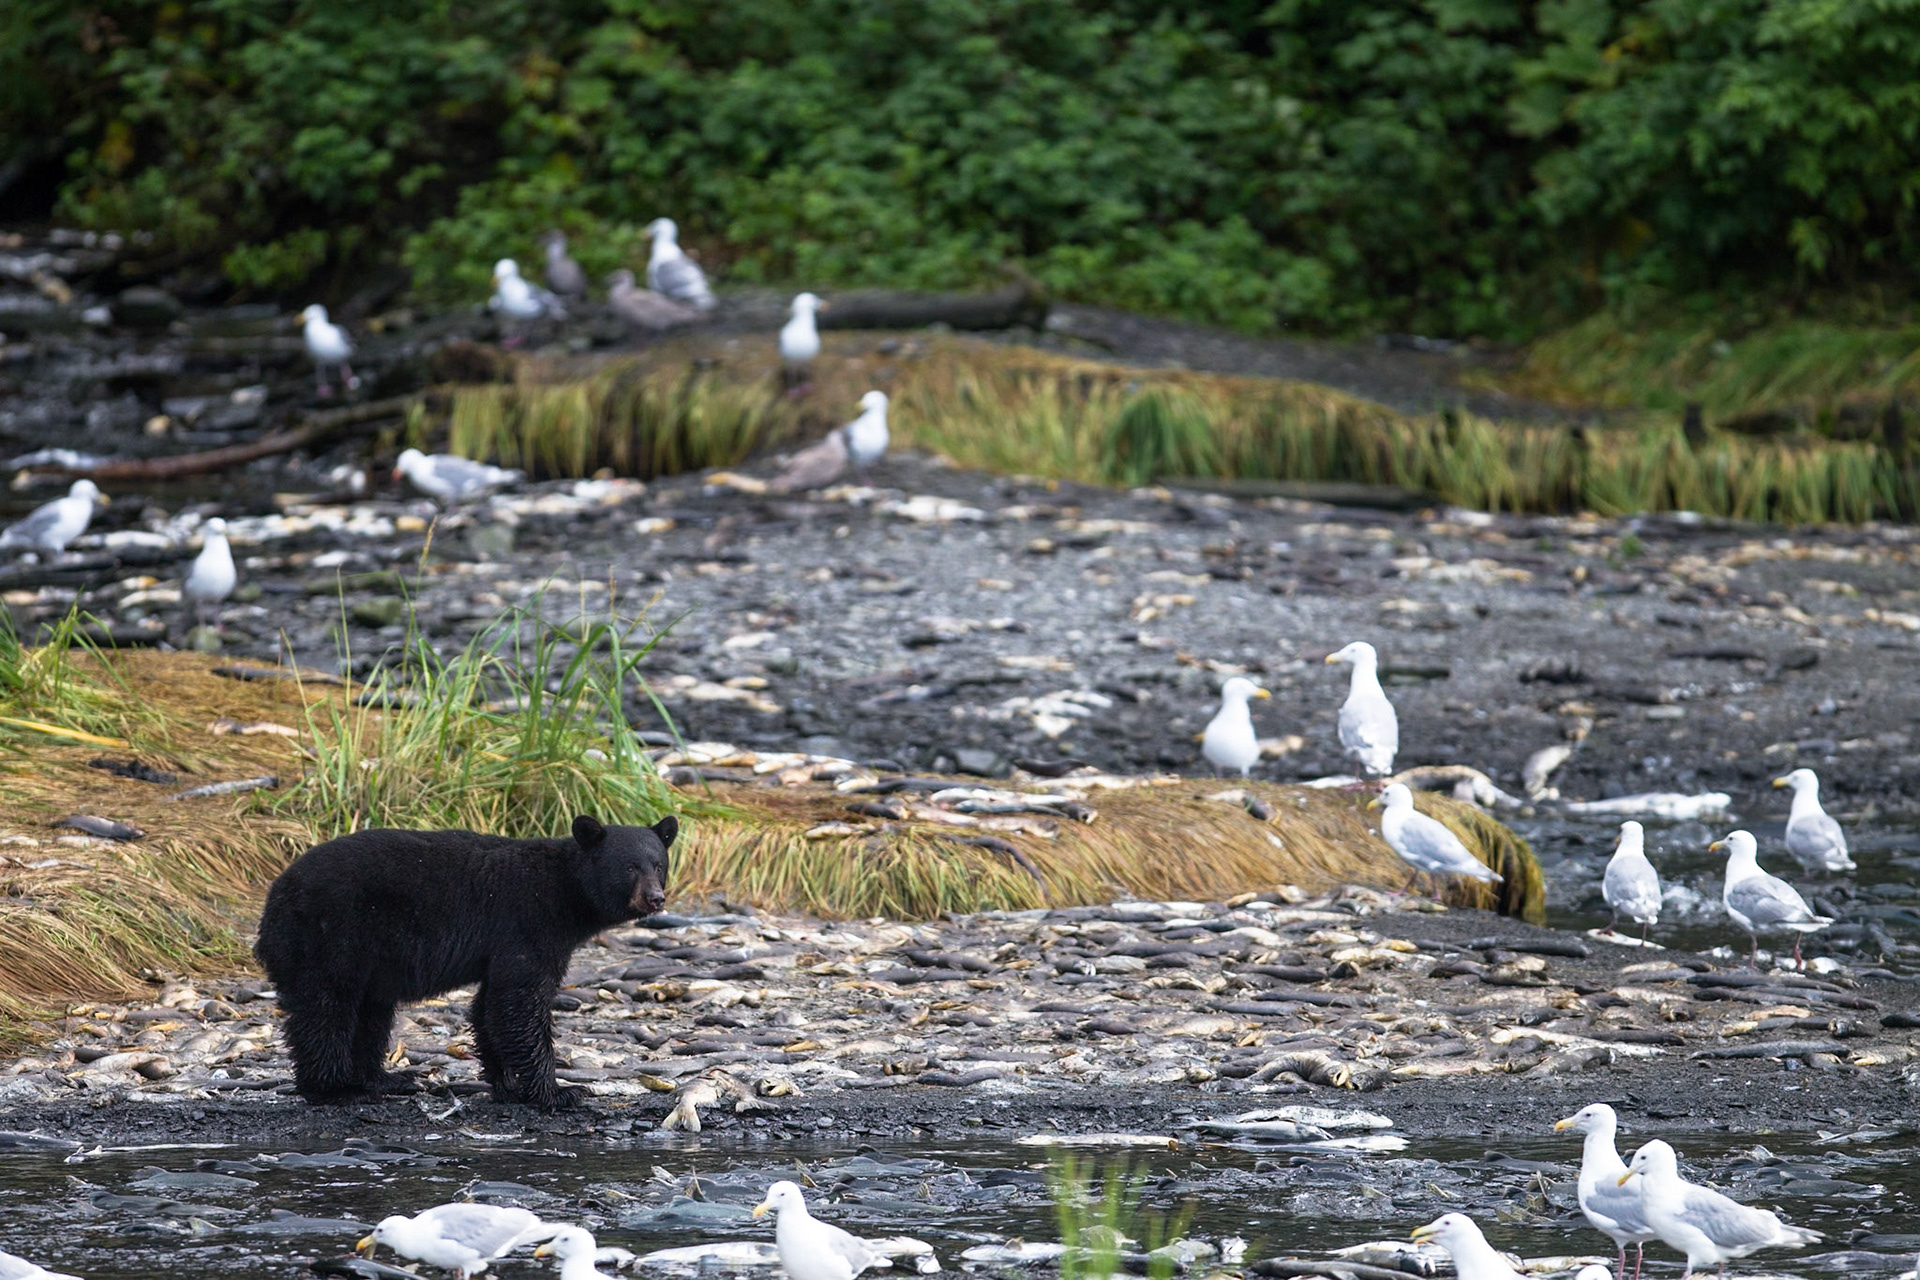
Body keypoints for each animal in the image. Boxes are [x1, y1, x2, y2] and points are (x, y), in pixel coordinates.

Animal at [253, 813, 675, 1109]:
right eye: (629, 866)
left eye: (658, 864)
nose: (655, 898)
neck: (565, 892)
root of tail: (273, 899)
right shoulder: (528, 924)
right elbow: (521, 1002)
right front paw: (558, 1092)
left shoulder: (502, 944)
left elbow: (492, 1006)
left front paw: (509, 1085)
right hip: (332, 935)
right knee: (327, 1008)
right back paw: (335, 1090)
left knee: (370, 1014)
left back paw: (383, 1080)